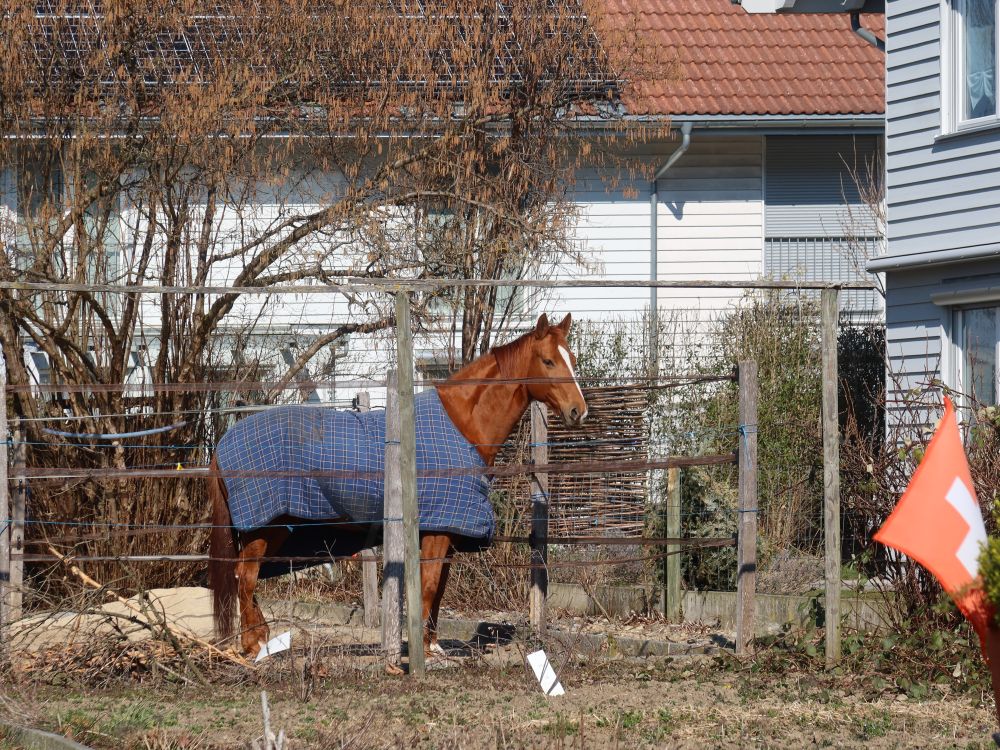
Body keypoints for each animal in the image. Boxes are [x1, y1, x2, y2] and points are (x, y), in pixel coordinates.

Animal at [208, 312, 588, 656]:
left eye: (572, 358)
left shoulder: (447, 530)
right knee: (246, 577)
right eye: (548, 360)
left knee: (248, 577)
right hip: (264, 526)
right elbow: (429, 584)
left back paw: (262, 639)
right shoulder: (439, 529)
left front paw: (433, 645)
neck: (461, 425)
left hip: (275, 527)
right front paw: (421, 649)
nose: (578, 411)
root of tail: (224, 442)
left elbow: (439, 586)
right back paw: (254, 645)